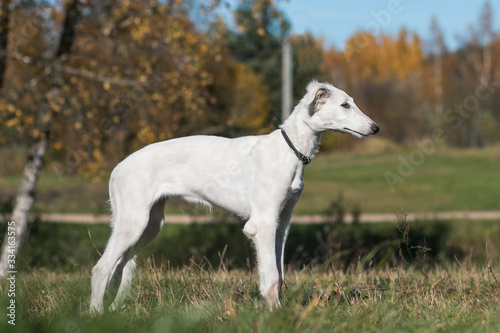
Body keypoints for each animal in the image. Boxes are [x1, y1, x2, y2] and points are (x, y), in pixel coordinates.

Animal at [90, 80, 378, 312]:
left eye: (352, 103)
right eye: (345, 105)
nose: (375, 128)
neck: (289, 150)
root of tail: (117, 169)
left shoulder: (282, 223)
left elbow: (280, 275)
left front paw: (278, 311)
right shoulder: (263, 223)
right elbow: (272, 277)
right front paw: (276, 316)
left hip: (150, 226)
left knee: (120, 267)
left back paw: (115, 310)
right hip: (133, 223)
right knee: (101, 268)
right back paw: (95, 314)